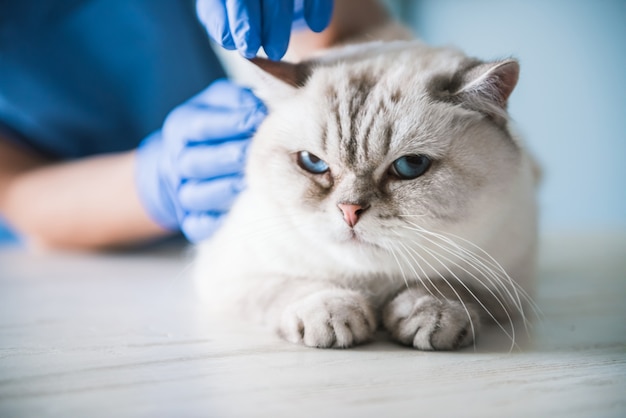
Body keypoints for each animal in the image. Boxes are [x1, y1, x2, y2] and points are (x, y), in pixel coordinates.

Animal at [194, 40, 536, 352]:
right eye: (313, 162)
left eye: (411, 165)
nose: (349, 210)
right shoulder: (232, 275)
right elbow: (296, 286)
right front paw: (332, 313)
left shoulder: (506, 282)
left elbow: (451, 286)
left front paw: (433, 312)